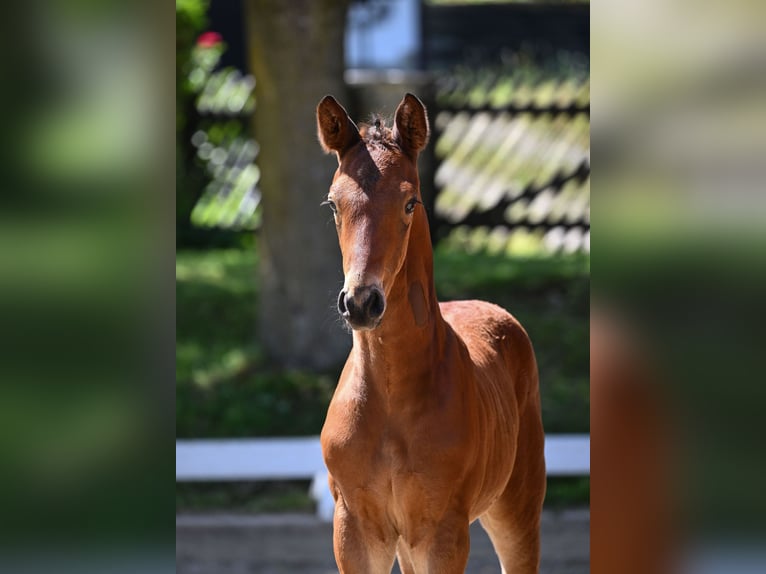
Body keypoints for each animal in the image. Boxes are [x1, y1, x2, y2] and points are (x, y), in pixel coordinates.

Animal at [316, 93, 546, 574]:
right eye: (333, 204)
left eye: (410, 202)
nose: (361, 302)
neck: (389, 399)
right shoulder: (355, 531)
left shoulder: (442, 533)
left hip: (516, 507)